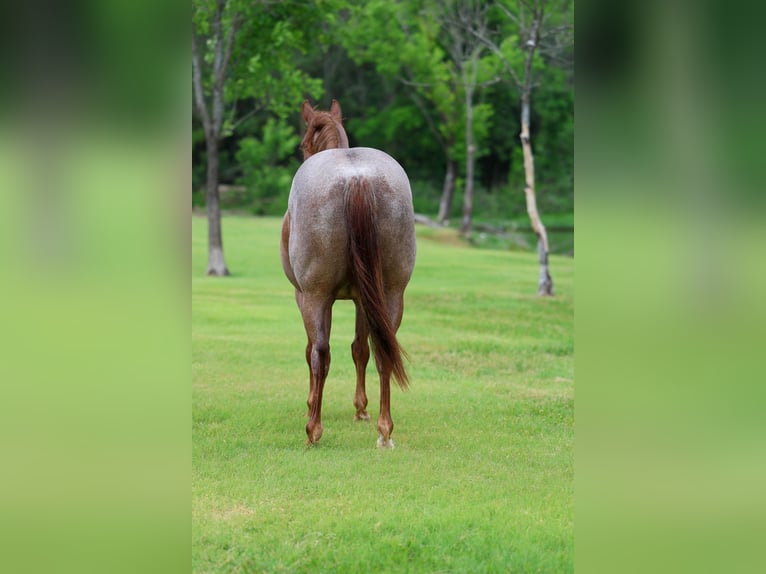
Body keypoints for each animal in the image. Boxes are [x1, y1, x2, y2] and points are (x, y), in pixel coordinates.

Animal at [280, 99, 416, 448]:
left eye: (303, 144)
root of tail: (357, 177)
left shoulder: (304, 296)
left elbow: (312, 351)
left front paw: (312, 404)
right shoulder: (362, 299)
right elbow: (360, 349)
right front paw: (362, 409)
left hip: (315, 295)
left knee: (319, 352)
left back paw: (313, 430)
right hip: (391, 294)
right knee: (383, 350)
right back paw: (384, 430)